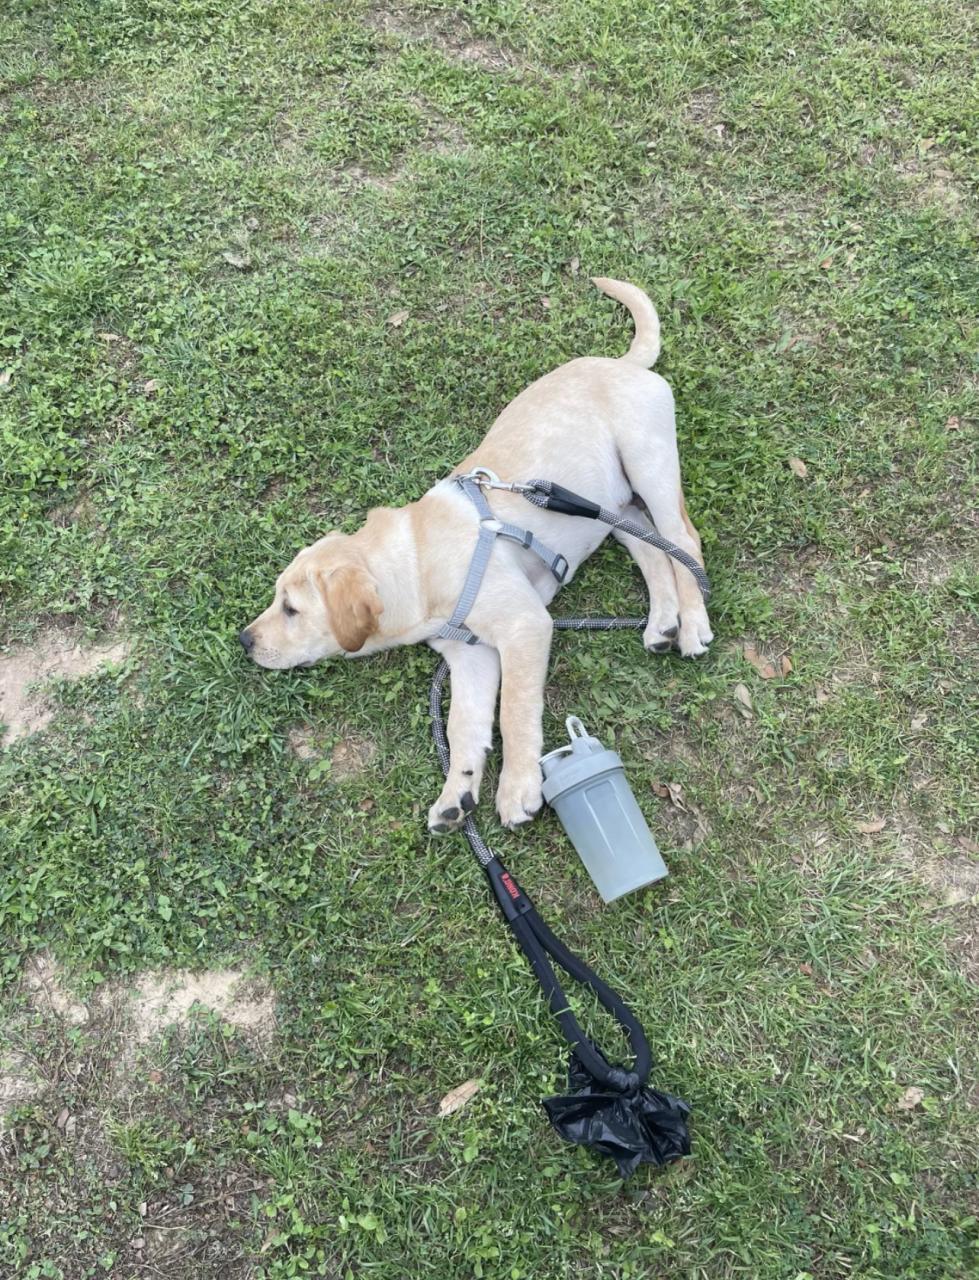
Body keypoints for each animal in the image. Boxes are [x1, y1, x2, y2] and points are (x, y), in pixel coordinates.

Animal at [241, 278, 712, 832]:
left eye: (291, 609)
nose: (245, 641)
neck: (419, 565)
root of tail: (624, 363)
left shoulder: (525, 626)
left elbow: (514, 713)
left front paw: (518, 788)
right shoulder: (471, 658)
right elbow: (463, 726)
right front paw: (456, 792)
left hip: (648, 464)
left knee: (683, 542)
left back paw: (693, 623)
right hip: (607, 509)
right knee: (654, 550)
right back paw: (662, 622)